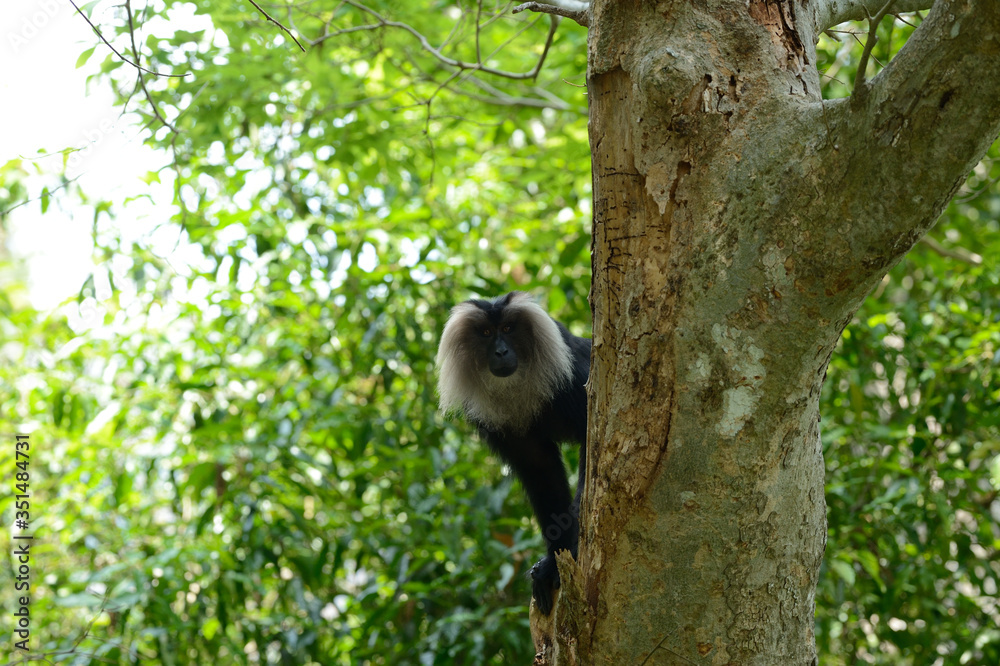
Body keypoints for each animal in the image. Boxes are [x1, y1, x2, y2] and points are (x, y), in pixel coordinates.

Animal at [436, 291, 590, 615]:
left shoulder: (574, 379)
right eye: (485, 333)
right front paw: (555, 560)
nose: (501, 352)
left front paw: (571, 548)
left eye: (507, 329)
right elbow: (540, 469)